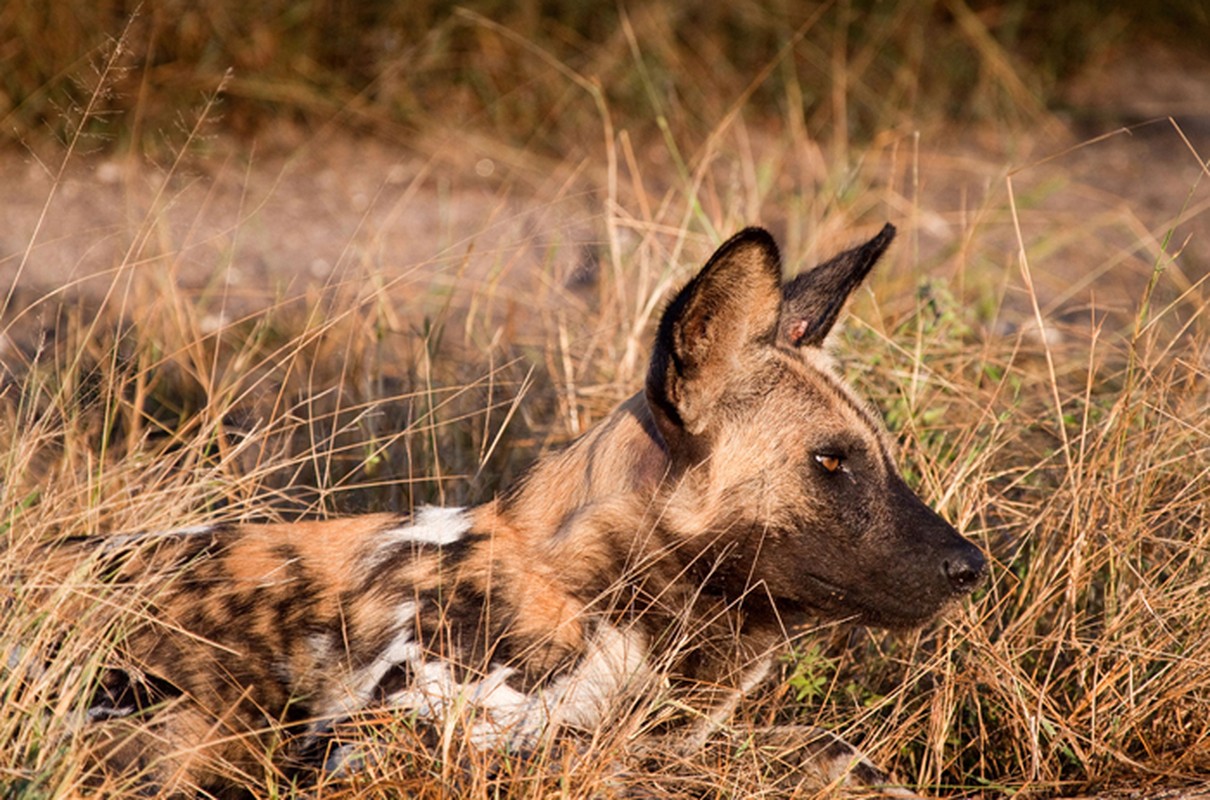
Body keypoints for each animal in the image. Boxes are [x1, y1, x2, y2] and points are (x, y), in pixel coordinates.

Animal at [75, 222, 982, 793]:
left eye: (883, 457)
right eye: (830, 462)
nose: (972, 567)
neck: (601, 600)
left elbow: (831, 749)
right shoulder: (367, 746)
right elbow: (587, 762)